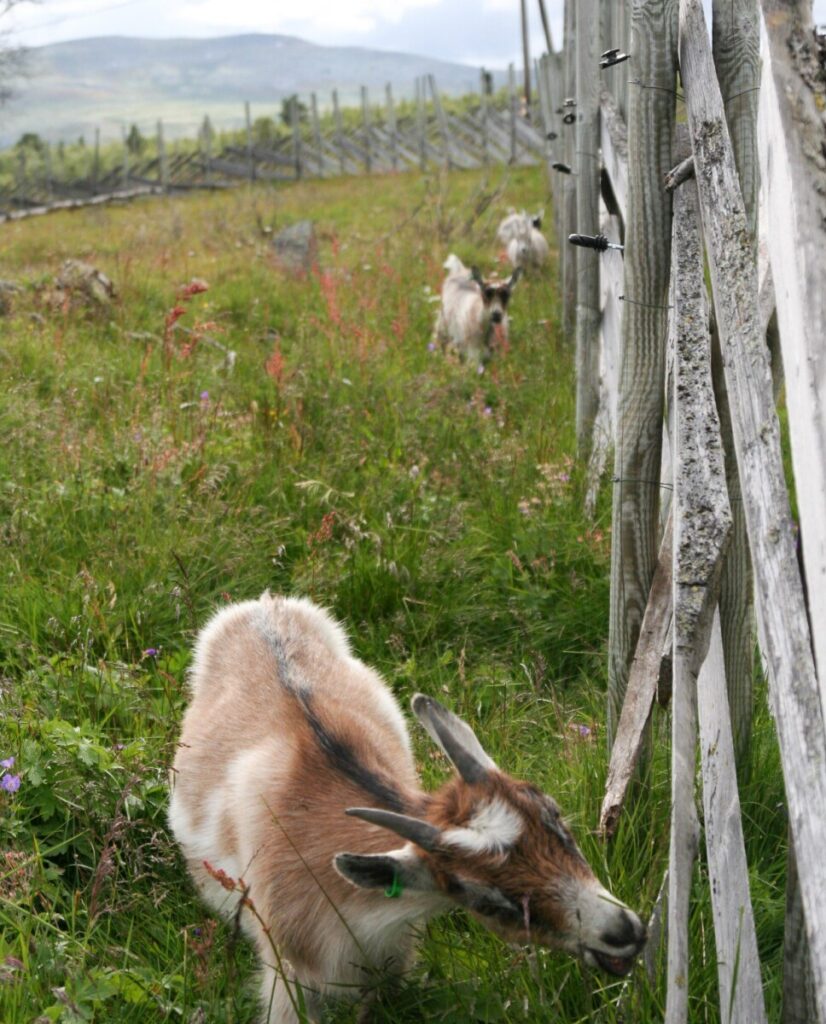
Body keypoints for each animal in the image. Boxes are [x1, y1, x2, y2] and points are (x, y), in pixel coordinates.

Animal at [167, 598, 646, 1019]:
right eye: (488, 900)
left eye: (557, 821)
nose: (624, 932)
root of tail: (263, 605)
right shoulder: (286, 982)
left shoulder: (391, 965)